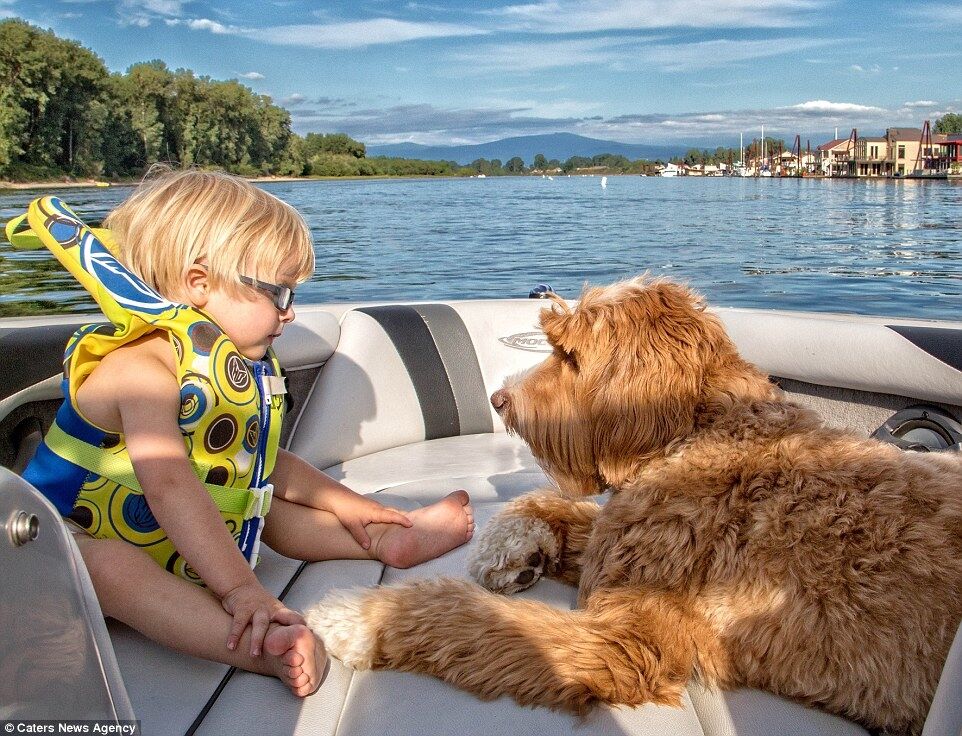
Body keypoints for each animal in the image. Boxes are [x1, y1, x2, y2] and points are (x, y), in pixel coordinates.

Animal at [308, 278, 960, 732]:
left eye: (570, 355)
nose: (498, 399)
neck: (697, 429)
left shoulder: (628, 636)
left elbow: (470, 616)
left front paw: (358, 617)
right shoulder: (621, 538)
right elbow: (550, 505)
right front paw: (512, 551)